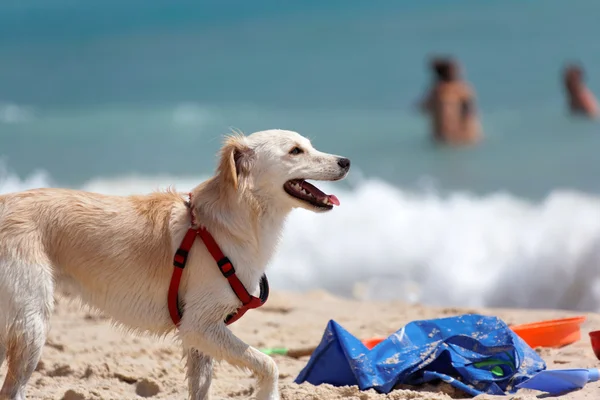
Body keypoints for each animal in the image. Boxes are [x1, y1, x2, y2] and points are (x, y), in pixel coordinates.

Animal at [0, 130, 350, 398]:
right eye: (295, 151)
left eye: (309, 144)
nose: (346, 161)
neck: (230, 223)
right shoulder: (199, 325)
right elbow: (269, 364)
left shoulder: (200, 338)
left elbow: (202, 388)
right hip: (31, 323)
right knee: (12, 389)